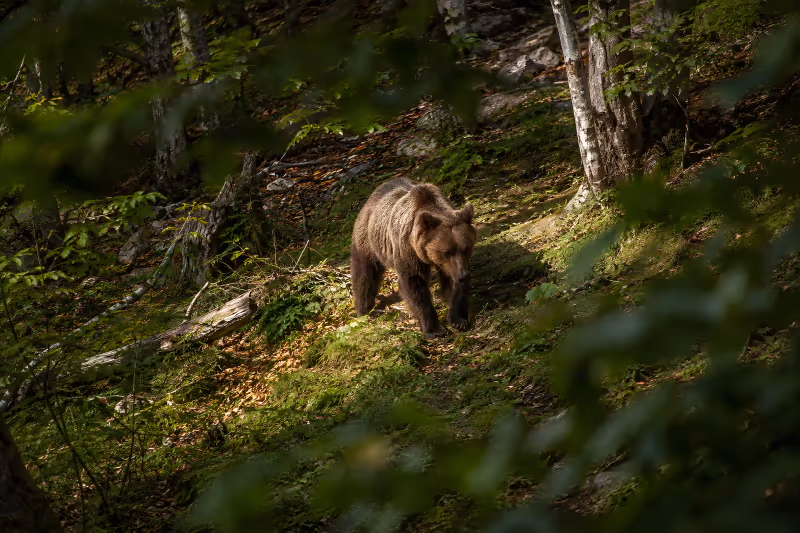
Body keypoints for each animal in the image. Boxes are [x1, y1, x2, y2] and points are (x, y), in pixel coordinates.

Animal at [351, 178, 477, 334]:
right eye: (447, 252)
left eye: (466, 248)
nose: (463, 275)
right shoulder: (407, 249)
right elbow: (414, 282)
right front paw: (434, 329)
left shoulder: (451, 264)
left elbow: (453, 284)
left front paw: (458, 320)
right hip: (369, 239)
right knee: (365, 272)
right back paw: (366, 310)